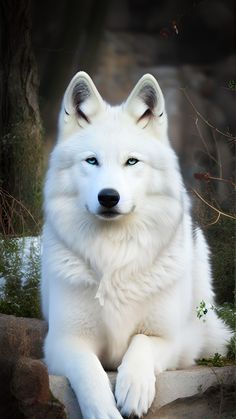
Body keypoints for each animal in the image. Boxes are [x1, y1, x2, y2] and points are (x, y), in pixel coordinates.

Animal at [41, 72, 230, 419]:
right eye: (92, 161)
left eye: (131, 162)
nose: (108, 197)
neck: (114, 253)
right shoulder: (62, 342)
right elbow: (89, 372)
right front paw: (104, 410)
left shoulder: (171, 339)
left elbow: (141, 344)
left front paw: (134, 389)